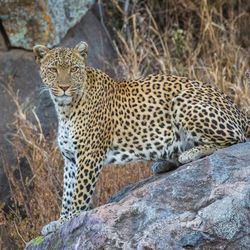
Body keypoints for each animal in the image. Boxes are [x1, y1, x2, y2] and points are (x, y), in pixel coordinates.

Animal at [33, 40, 250, 234]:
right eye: (53, 70)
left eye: (74, 69)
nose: (64, 87)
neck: (65, 109)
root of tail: (237, 109)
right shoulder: (70, 158)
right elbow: (68, 192)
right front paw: (60, 222)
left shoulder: (89, 155)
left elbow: (79, 193)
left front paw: (70, 221)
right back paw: (164, 163)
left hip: (183, 103)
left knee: (235, 138)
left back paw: (190, 154)